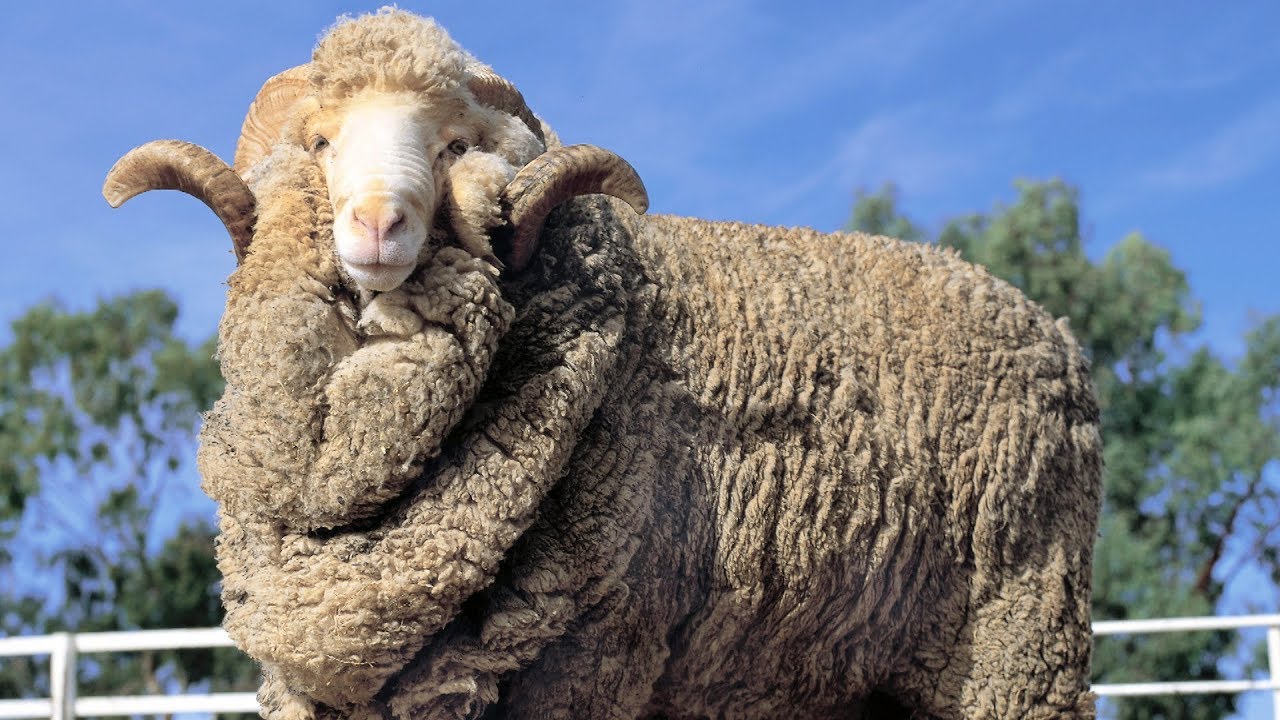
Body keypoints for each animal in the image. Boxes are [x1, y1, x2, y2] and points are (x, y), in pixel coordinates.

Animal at [103, 9, 1102, 720]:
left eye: (455, 145)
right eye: (319, 142)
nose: (380, 224)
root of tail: (1050, 326)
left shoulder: (600, 650)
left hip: (1016, 643)